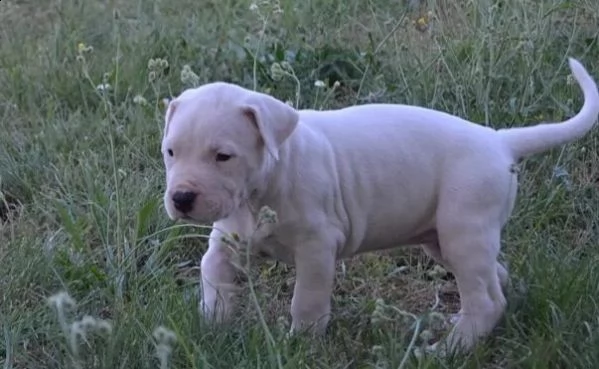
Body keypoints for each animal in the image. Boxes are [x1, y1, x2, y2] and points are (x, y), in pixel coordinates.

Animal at [161, 58, 599, 354]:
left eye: (223, 156)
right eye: (170, 152)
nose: (181, 198)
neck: (268, 178)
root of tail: (498, 140)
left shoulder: (317, 247)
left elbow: (307, 299)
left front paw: (300, 343)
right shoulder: (227, 241)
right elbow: (213, 278)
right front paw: (211, 329)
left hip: (464, 230)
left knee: (487, 300)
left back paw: (448, 350)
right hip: (444, 240)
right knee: (494, 279)